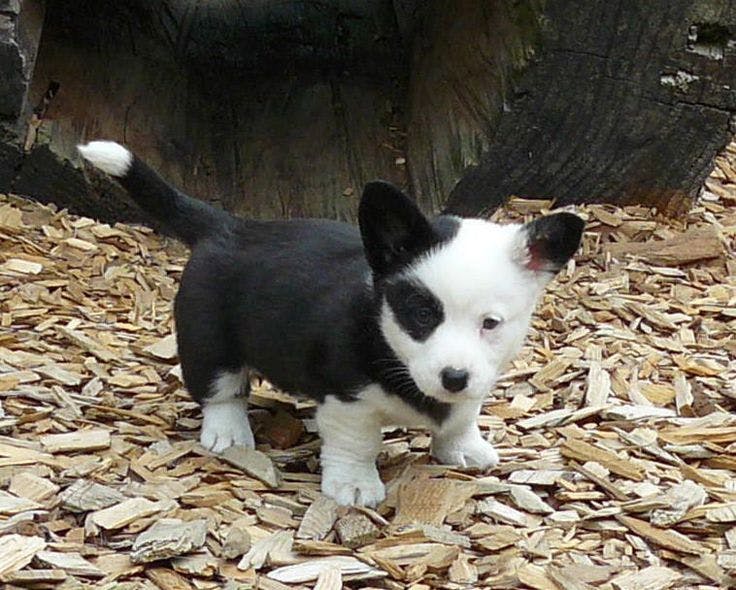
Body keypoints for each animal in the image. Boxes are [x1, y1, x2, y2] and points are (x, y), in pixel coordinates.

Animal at [77, 142, 584, 508]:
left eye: (491, 323)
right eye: (422, 314)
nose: (454, 377)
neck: (388, 346)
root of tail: (229, 227)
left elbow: (461, 418)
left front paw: (462, 448)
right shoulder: (347, 403)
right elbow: (357, 444)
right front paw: (355, 486)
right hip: (209, 342)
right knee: (221, 390)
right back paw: (229, 433)